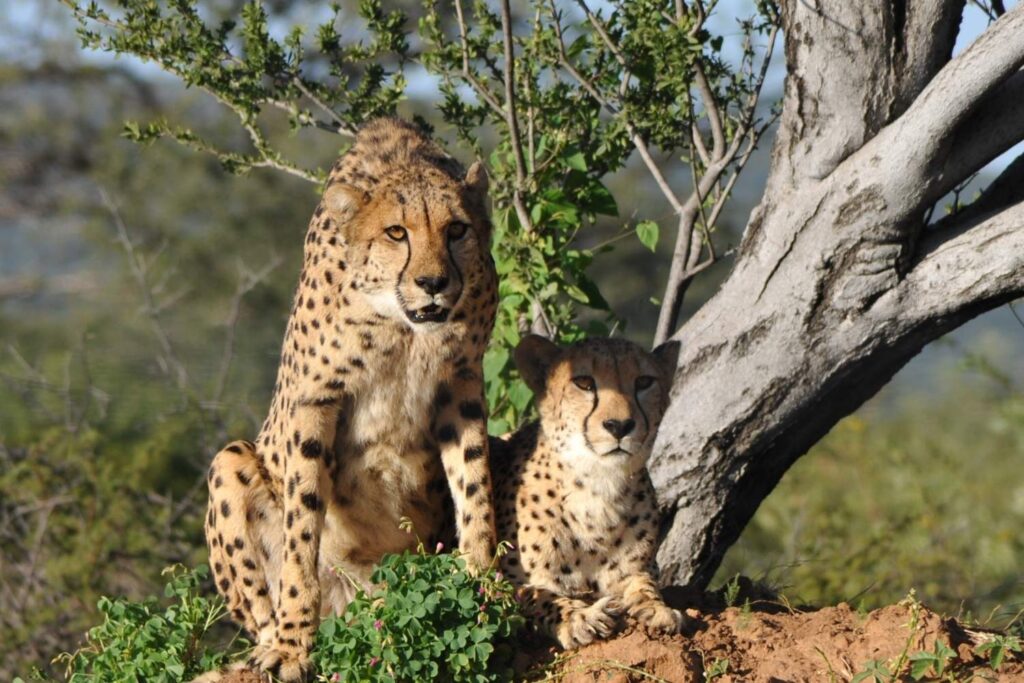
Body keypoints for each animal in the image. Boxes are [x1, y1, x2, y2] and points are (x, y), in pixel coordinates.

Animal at [202, 118, 498, 682]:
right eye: (397, 233)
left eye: (457, 230)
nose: (433, 283)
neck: (403, 326)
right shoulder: (317, 398)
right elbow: (301, 530)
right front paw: (293, 644)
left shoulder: (462, 383)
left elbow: (475, 486)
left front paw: (486, 584)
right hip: (229, 461)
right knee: (259, 609)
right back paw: (273, 642)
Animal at [490, 334, 685, 649]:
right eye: (584, 383)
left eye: (644, 382)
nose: (619, 426)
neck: (599, 487)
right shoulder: (502, 581)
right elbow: (540, 596)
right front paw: (579, 618)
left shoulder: (639, 569)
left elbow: (645, 583)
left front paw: (656, 609)